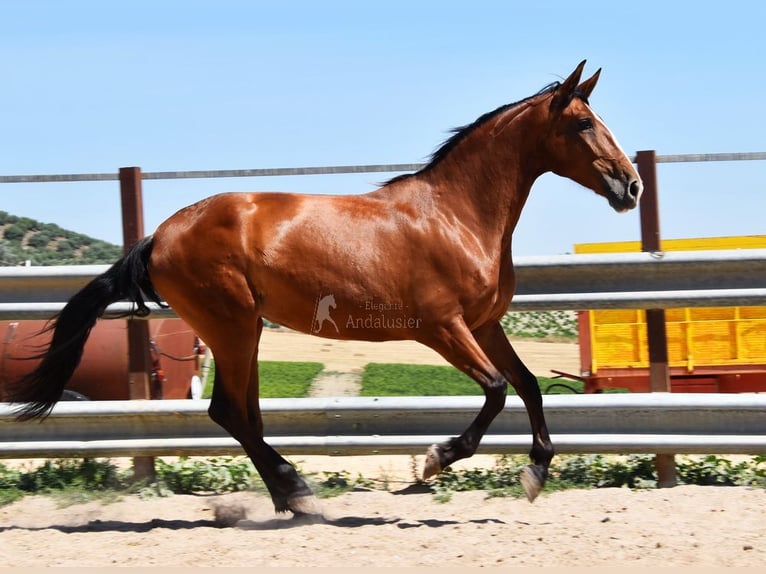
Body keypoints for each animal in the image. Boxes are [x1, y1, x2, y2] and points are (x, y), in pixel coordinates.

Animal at [7, 62, 640, 516]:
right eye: (583, 123)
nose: (631, 185)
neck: (456, 216)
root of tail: (159, 236)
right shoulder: (442, 329)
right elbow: (495, 390)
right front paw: (434, 461)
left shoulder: (484, 324)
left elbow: (528, 386)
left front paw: (536, 473)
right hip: (232, 326)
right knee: (229, 412)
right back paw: (298, 491)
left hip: (245, 331)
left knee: (244, 414)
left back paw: (290, 496)